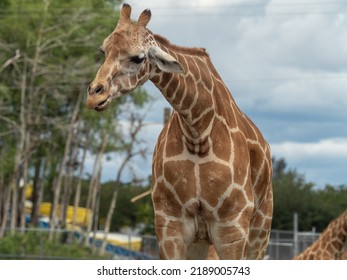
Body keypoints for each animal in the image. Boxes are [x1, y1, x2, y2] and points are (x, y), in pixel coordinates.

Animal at [85, 2, 274, 260]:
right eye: (103, 50)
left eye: (138, 58)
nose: (94, 95)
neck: (198, 132)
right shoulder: (170, 224)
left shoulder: (232, 228)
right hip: (201, 241)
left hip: (260, 230)